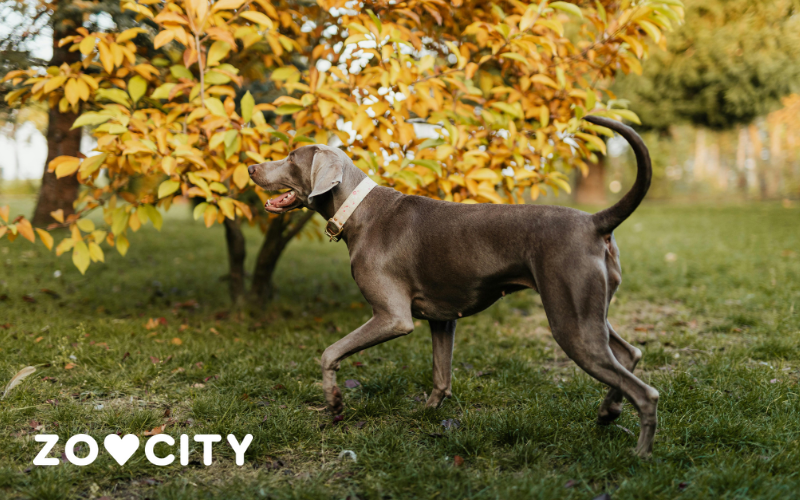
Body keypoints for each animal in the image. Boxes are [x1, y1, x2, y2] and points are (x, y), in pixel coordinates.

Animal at [248, 116, 656, 458]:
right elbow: (440, 376)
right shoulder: (443, 319)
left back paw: (639, 455)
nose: (251, 167)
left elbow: (329, 352)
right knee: (630, 353)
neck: (357, 210)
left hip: (570, 320)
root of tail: (594, 221)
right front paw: (425, 415)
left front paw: (333, 402)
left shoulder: (393, 317)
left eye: (290, 156)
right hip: (589, 311)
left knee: (646, 391)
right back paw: (608, 411)